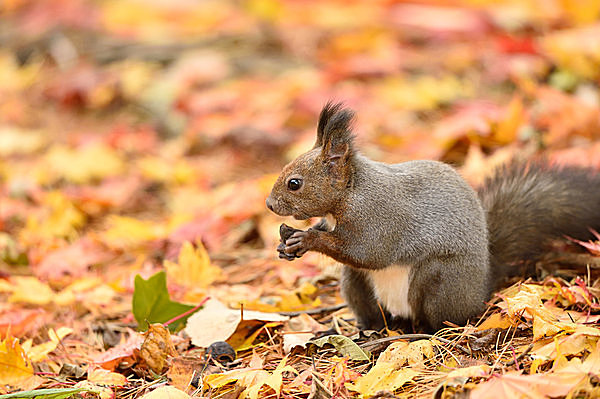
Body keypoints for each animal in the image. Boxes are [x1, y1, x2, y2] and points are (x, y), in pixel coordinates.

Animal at [268, 102, 600, 332]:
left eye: (294, 183)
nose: (270, 205)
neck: (351, 191)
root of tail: (481, 287)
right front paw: (287, 245)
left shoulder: (378, 216)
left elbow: (368, 253)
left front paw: (307, 239)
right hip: (356, 283)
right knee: (374, 310)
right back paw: (367, 329)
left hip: (437, 280)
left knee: (443, 318)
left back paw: (425, 331)